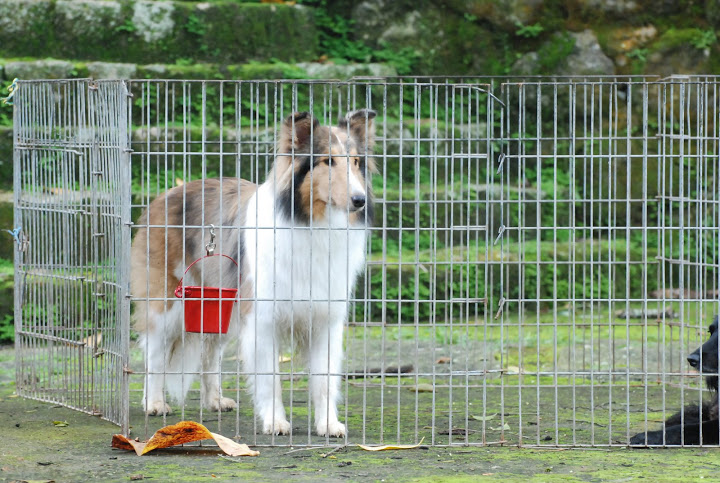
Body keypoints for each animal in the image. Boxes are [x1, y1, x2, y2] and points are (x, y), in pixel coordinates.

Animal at [132, 109, 376, 438]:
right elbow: (270, 377)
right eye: (328, 161)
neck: (312, 223)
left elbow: (324, 380)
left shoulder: (326, 319)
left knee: (210, 354)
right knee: (154, 354)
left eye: (356, 162)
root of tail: (166, 194)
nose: (360, 200)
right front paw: (275, 421)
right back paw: (154, 403)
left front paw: (328, 424)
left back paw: (215, 400)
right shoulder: (262, 319)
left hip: (220, 302)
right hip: (166, 303)